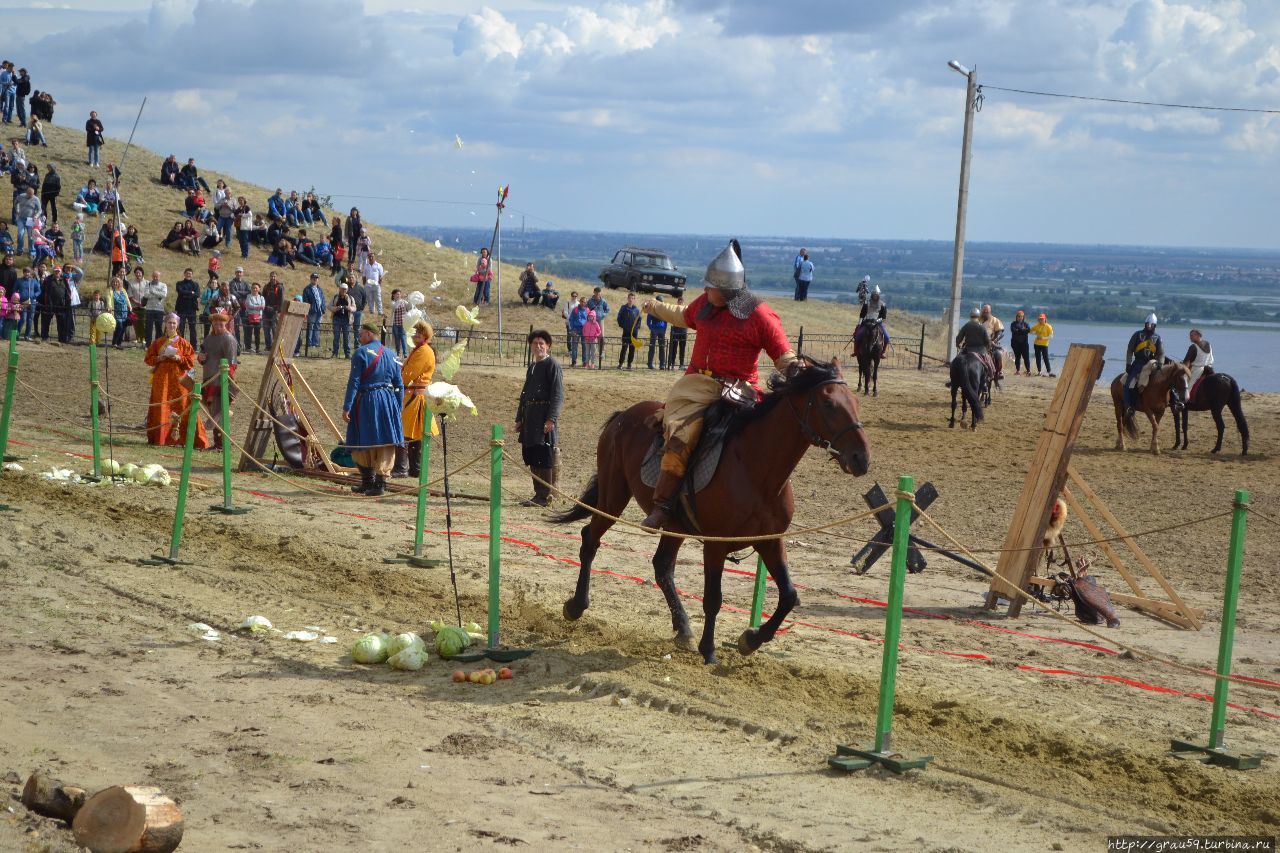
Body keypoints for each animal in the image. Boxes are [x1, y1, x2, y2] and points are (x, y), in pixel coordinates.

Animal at [552, 356, 870, 660]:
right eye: (829, 403)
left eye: (856, 403)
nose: (861, 458)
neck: (756, 470)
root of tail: (623, 416)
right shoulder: (716, 545)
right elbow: (713, 599)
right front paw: (709, 650)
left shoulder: (771, 541)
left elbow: (790, 596)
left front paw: (751, 639)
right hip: (613, 498)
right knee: (590, 539)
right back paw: (576, 605)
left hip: (673, 524)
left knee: (661, 566)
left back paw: (682, 628)